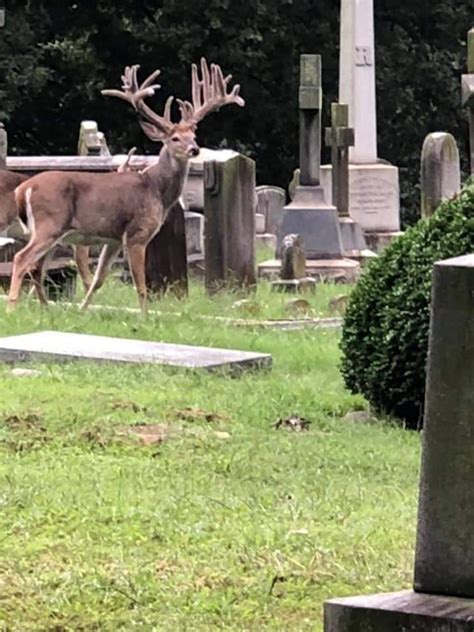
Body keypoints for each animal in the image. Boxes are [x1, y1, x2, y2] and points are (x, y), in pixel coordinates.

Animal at [7, 59, 244, 314]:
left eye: (193, 135)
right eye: (174, 138)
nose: (195, 149)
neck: (156, 189)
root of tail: (23, 189)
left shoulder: (113, 239)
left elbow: (99, 279)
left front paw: (82, 310)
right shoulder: (137, 233)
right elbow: (141, 284)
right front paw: (145, 316)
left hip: (53, 232)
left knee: (36, 269)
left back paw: (45, 309)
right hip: (49, 223)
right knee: (21, 259)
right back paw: (12, 307)